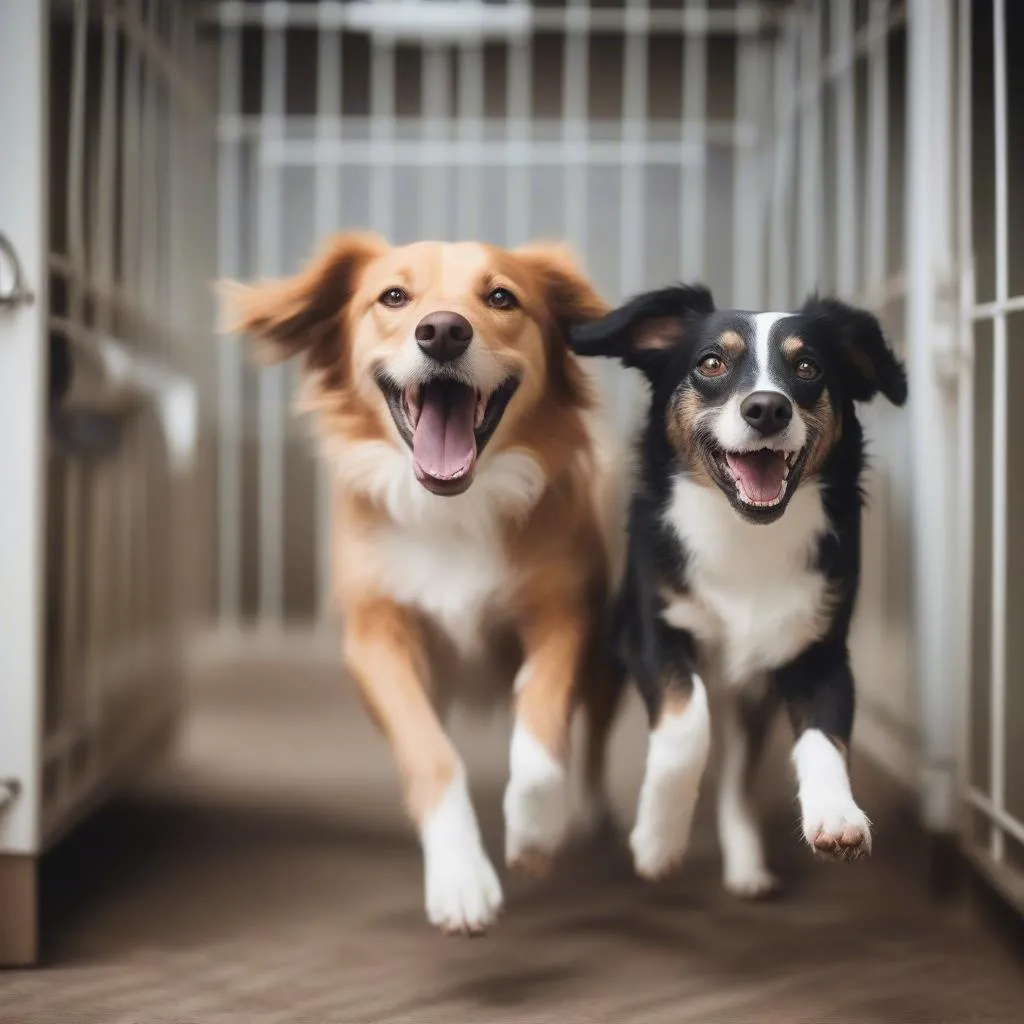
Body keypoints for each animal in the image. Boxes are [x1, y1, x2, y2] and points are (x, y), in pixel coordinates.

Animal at [573, 286, 909, 897]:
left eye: (808, 367)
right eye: (711, 363)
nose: (768, 408)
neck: (745, 533)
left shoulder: (818, 652)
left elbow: (825, 735)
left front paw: (836, 815)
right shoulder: (651, 635)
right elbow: (687, 726)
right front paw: (658, 840)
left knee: (737, 776)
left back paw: (747, 861)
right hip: (609, 651)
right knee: (597, 731)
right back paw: (591, 812)